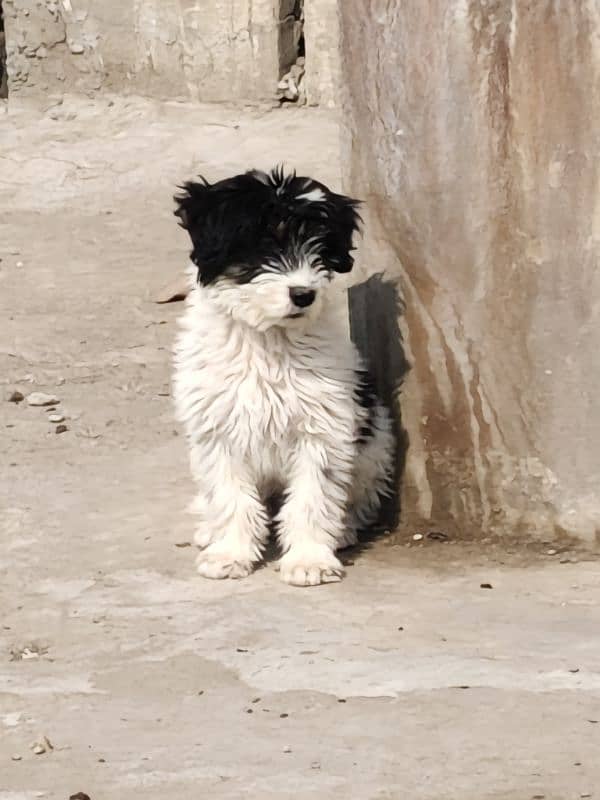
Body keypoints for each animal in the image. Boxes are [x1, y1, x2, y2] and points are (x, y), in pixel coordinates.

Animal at [172, 167, 394, 588]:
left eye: (320, 249)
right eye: (264, 247)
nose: (303, 294)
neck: (268, 338)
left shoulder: (322, 429)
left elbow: (312, 497)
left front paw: (309, 559)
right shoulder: (218, 428)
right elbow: (230, 495)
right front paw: (230, 552)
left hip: (374, 444)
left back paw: (343, 530)